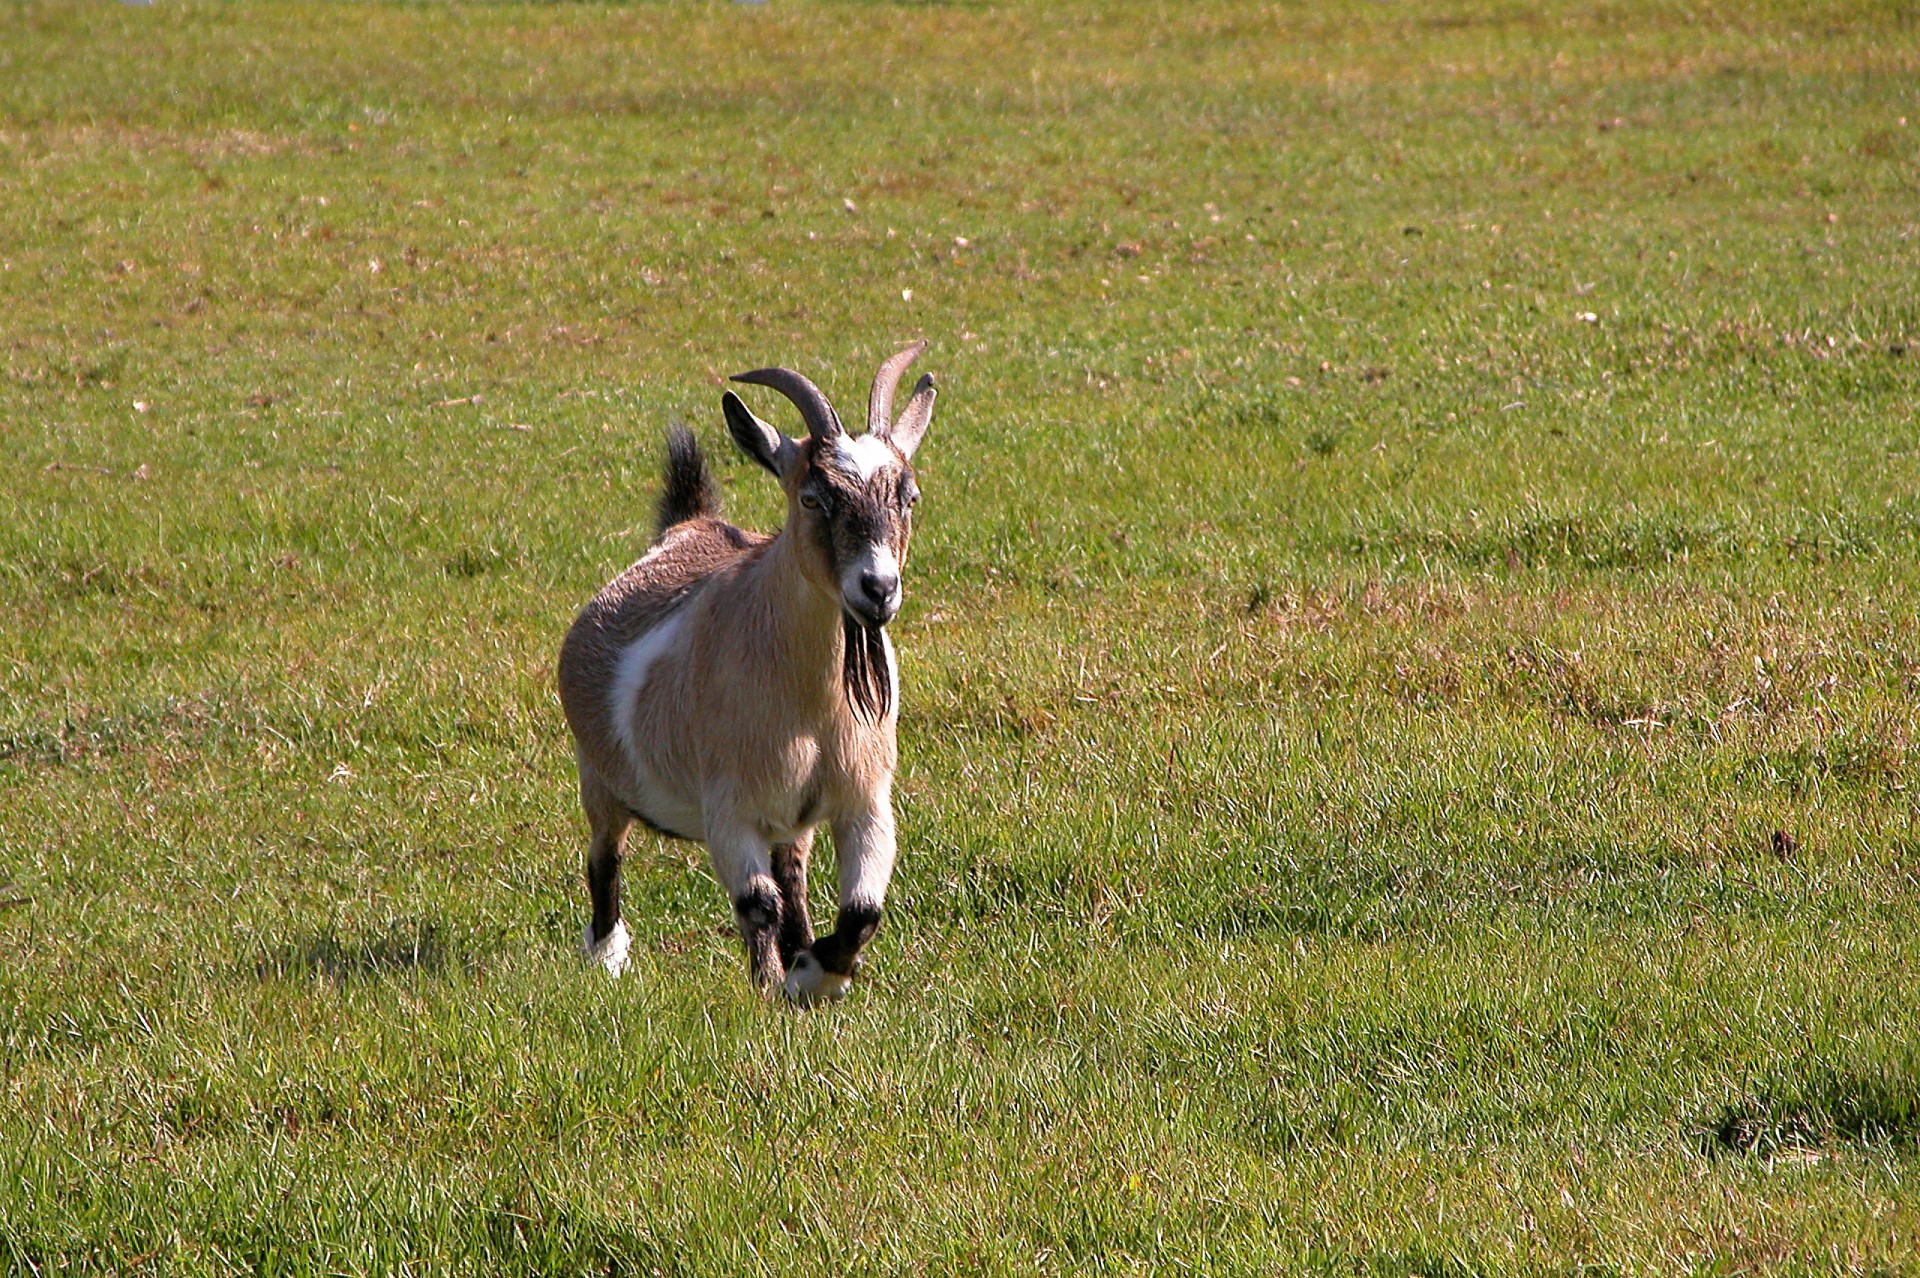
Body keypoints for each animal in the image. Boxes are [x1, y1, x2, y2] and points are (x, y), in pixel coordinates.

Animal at [556, 343, 936, 997]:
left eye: (907, 498)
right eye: (812, 498)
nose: (878, 589)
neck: (811, 707)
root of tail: (687, 527)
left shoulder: (865, 798)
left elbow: (863, 909)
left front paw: (814, 974)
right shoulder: (728, 806)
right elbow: (756, 903)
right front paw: (771, 987)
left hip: (790, 817)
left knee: (795, 874)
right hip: (598, 776)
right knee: (605, 855)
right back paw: (606, 952)